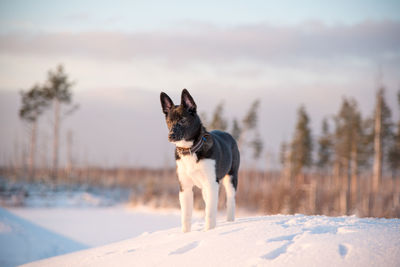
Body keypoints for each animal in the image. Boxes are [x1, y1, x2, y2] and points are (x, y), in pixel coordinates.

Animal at [160, 89, 241, 232]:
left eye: (183, 120)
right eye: (169, 121)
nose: (171, 136)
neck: (190, 150)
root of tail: (229, 135)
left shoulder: (212, 183)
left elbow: (210, 212)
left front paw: (209, 231)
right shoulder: (185, 187)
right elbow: (186, 216)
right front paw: (186, 234)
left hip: (231, 178)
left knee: (230, 200)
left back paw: (230, 221)